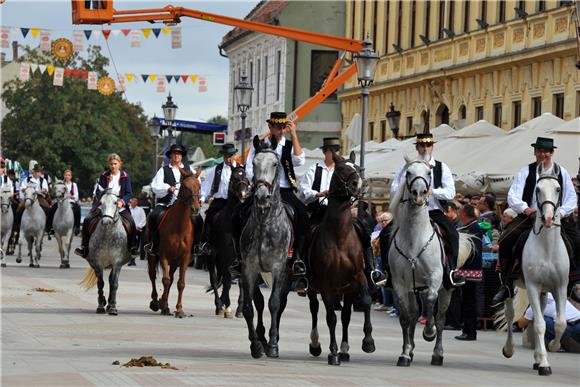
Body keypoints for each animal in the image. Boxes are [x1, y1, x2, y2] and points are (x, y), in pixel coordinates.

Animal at [147, 169, 202, 318]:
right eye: (186, 187)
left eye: (199, 186)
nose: (196, 208)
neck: (179, 226)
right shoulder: (164, 255)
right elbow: (165, 280)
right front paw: (162, 305)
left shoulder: (184, 258)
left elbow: (180, 283)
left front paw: (179, 309)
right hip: (152, 256)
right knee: (153, 275)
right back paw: (156, 302)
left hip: (175, 261)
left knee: (171, 278)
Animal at [304, 152, 376, 366]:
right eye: (342, 169)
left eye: (358, 168)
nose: (358, 184)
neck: (340, 236)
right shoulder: (326, 284)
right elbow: (330, 318)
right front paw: (333, 352)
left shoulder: (358, 277)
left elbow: (366, 301)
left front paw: (368, 342)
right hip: (313, 288)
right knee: (314, 309)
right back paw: (316, 344)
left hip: (348, 289)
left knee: (345, 315)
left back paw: (345, 349)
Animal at [388, 153, 474, 368]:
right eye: (408, 173)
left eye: (429, 173)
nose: (419, 194)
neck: (414, 239)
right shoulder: (400, 284)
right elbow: (405, 317)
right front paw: (405, 353)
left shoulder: (434, 278)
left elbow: (430, 301)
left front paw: (429, 332)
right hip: (413, 289)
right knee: (412, 315)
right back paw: (410, 350)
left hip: (447, 290)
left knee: (441, 318)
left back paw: (437, 353)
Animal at [500, 163, 568, 376]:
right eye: (537, 189)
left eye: (558, 189)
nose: (548, 218)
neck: (547, 248)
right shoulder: (531, 285)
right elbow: (539, 324)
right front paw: (545, 363)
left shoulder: (560, 287)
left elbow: (560, 323)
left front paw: (553, 348)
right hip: (510, 285)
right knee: (510, 314)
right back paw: (509, 349)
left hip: (544, 291)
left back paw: (538, 358)